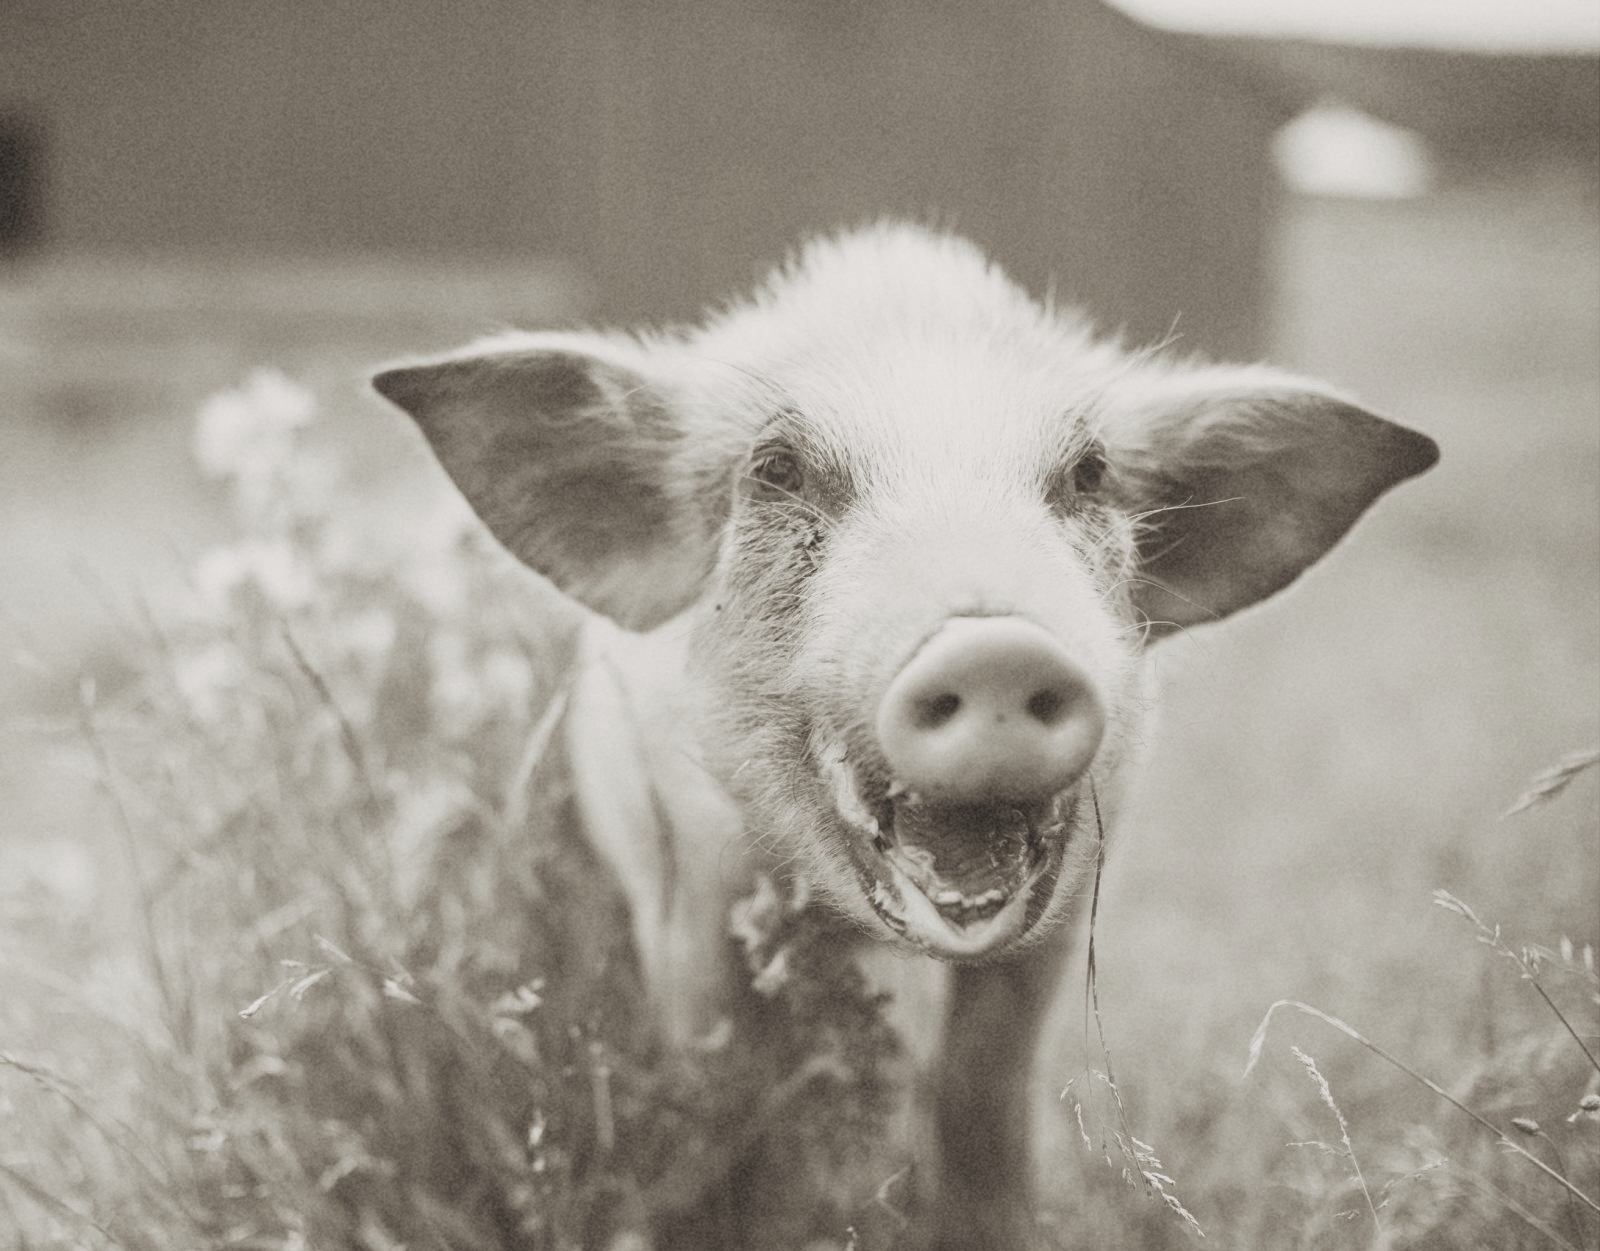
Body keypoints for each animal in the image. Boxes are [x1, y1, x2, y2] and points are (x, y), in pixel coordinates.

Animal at [372, 223, 1438, 1250]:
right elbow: (716, 1081)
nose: (995, 646)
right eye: (777, 469)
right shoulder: (685, 877)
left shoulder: (1067, 907)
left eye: (1089, 473)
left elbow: (979, 1089)